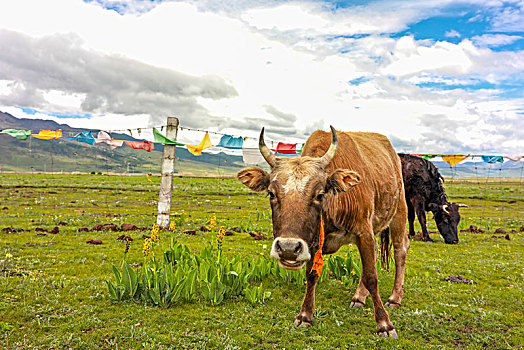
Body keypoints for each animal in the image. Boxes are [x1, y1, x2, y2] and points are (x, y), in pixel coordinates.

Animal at [236, 126, 410, 340]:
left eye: (319, 194)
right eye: (271, 193)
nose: (287, 248)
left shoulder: (364, 232)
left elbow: (371, 276)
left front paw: (384, 324)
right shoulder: (311, 242)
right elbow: (311, 275)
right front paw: (305, 315)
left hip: (399, 212)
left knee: (400, 250)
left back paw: (395, 298)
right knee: (378, 250)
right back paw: (359, 297)